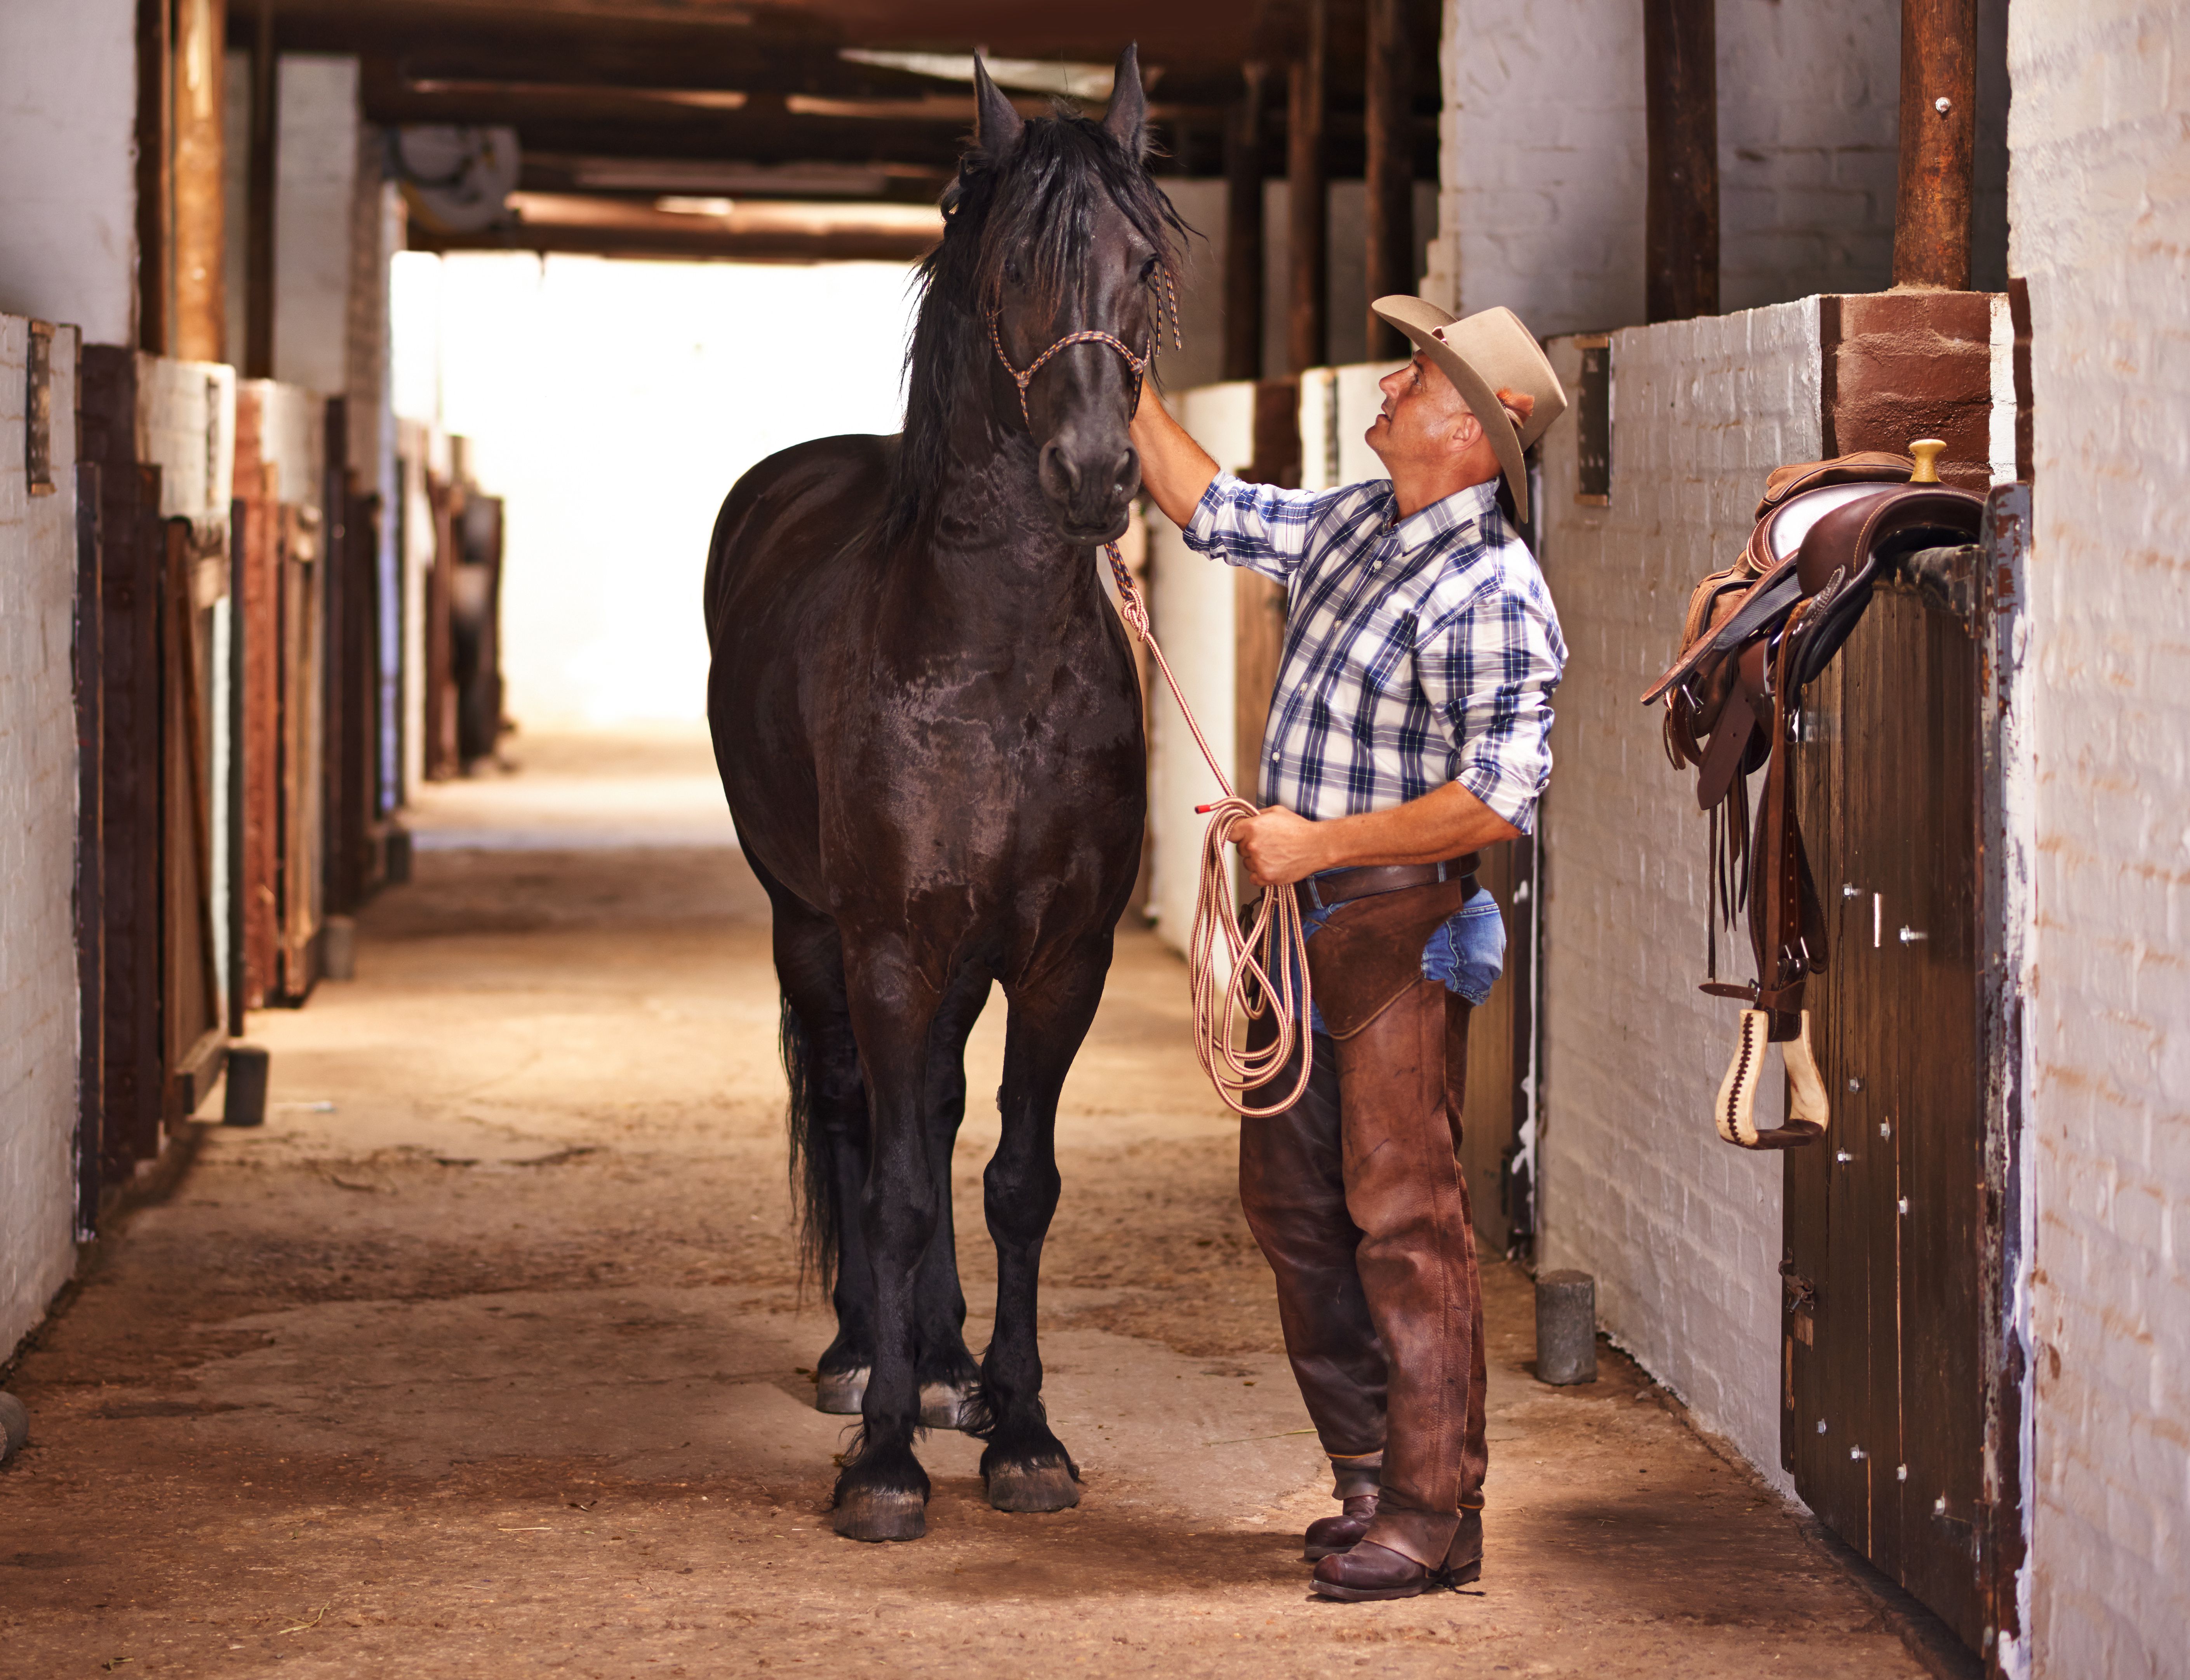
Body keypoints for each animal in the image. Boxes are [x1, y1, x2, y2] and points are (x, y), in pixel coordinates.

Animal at [705, 46, 1183, 1542]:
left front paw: (1019, 1426)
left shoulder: (1058, 955)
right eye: (1014, 264)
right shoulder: (890, 946)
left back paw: (946, 1361)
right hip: (810, 930)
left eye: (1144, 262)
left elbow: (1014, 1179)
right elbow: (902, 1180)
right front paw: (881, 1461)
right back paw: (869, 1354)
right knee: (860, 1112)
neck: (993, 667)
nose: (1092, 474)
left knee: (938, 1110)